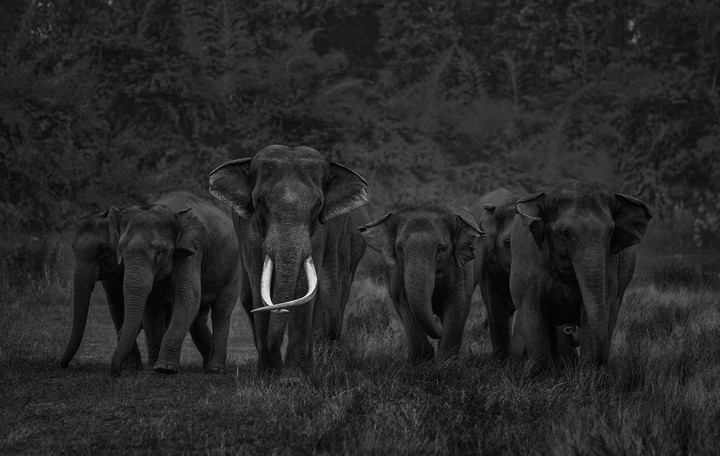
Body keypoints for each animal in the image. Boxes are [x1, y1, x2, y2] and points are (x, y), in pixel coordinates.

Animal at [108, 191, 240, 376]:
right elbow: (152, 307)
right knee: (198, 320)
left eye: (160, 251)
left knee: (221, 312)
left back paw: (215, 369)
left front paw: (165, 369)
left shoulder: (191, 252)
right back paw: (207, 365)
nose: (116, 372)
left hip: (232, 271)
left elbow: (188, 297)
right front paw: (153, 367)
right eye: (121, 249)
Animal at [209, 145, 369, 376]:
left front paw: (294, 377)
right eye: (261, 202)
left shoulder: (319, 234)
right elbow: (258, 283)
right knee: (248, 297)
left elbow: (305, 289)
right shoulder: (249, 231)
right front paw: (269, 375)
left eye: (317, 205)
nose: (282, 308)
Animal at [359, 204, 483, 362]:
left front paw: (447, 361)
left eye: (440, 248)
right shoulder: (396, 272)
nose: (440, 330)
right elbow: (405, 303)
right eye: (400, 247)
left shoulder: (460, 271)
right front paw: (423, 360)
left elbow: (457, 302)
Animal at [509, 179, 651, 367]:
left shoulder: (610, 266)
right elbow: (532, 309)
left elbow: (595, 308)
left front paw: (588, 369)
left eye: (611, 234)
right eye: (565, 234)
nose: (569, 330)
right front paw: (541, 371)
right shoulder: (527, 259)